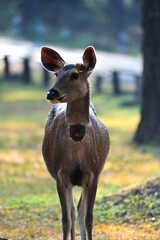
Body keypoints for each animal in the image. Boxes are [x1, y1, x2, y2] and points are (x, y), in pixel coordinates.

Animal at [40, 45, 109, 240]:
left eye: (75, 75)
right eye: (57, 74)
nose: (51, 93)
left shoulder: (93, 174)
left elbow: (89, 217)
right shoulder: (60, 174)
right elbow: (65, 219)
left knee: (79, 209)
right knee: (72, 211)